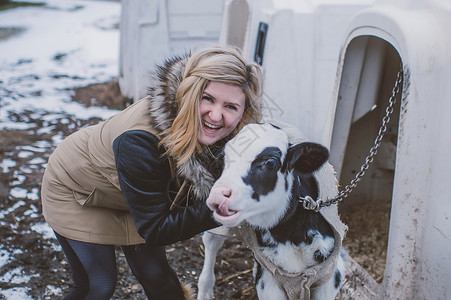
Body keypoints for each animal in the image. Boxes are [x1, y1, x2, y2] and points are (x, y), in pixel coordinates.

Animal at [198, 123, 346, 298]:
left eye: (270, 163)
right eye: (222, 159)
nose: (218, 195)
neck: (290, 236)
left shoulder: (329, 277)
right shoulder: (267, 279)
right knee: (211, 243)